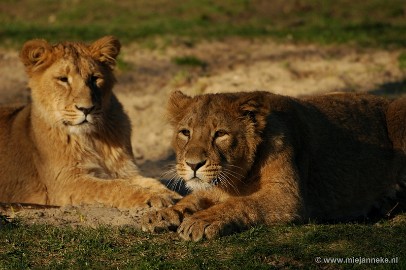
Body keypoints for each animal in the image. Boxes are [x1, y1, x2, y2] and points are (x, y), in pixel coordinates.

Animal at [0, 35, 179, 208]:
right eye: (63, 79)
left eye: (94, 78)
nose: (86, 109)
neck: (92, 138)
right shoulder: (65, 183)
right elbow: (112, 186)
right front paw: (151, 197)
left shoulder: (125, 170)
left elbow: (150, 181)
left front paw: (169, 194)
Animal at [141, 90, 404, 240]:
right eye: (185, 132)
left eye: (220, 134)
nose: (193, 164)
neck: (235, 181)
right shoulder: (214, 188)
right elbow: (191, 200)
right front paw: (162, 215)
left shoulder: (288, 197)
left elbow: (242, 203)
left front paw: (201, 221)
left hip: (398, 110)